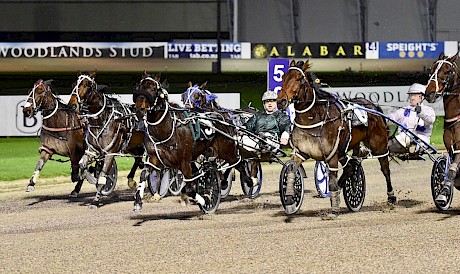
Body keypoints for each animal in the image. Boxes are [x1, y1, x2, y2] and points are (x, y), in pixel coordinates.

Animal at [67, 71, 144, 207]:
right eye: (73, 84)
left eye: (87, 85)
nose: (72, 105)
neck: (102, 120)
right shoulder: (92, 150)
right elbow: (83, 165)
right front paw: (90, 180)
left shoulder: (110, 153)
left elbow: (103, 175)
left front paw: (96, 200)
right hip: (133, 146)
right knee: (138, 159)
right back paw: (132, 181)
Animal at [133, 71, 241, 212]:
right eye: (138, 88)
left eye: (153, 89)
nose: (139, 110)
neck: (167, 127)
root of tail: (223, 116)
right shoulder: (154, 158)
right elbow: (143, 175)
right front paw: (138, 201)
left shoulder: (185, 162)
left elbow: (190, 188)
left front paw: (204, 200)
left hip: (227, 149)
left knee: (237, 162)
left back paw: (244, 181)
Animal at [274, 59, 394, 218]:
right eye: (283, 77)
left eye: (299, 79)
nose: (281, 101)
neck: (313, 119)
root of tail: (372, 105)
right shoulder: (301, 152)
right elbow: (292, 172)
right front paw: (289, 199)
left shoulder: (331, 156)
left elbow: (331, 182)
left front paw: (334, 209)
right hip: (345, 148)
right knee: (350, 166)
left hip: (378, 145)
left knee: (385, 169)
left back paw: (391, 198)